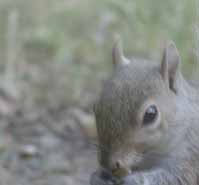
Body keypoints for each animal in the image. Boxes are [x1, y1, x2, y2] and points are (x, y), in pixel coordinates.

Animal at [90, 38, 199, 185]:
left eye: (151, 114)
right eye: (96, 107)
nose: (109, 165)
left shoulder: (190, 157)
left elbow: (175, 177)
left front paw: (132, 179)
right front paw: (98, 176)